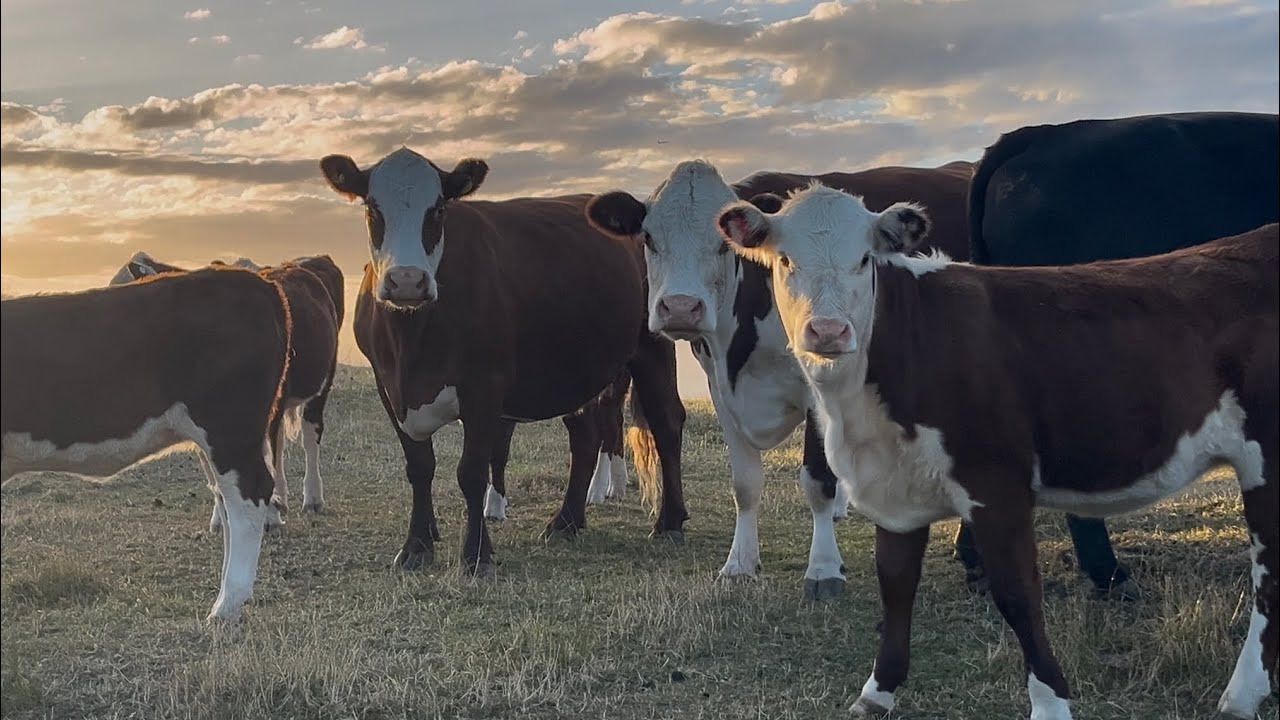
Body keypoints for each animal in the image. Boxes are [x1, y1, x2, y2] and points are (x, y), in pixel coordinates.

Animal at [319, 147, 686, 576]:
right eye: (372, 208)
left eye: (438, 209)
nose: (407, 280)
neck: (411, 345)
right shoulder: (389, 387)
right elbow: (419, 467)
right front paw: (417, 547)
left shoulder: (484, 386)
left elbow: (472, 472)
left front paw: (477, 554)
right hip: (575, 366)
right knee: (584, 436)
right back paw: (566, 521)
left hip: (652, 345)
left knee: (666, 422)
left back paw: (669, 522)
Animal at [585, 159, 972, 598]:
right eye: (649, 238)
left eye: (723, 245)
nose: (681, 308)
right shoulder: (722, 389)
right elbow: (745, 483)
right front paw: (739, 562)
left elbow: (817, 481)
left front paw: (824, 569)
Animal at [715, 182, 1277, 719]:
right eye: (786, 260)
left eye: (865, 259)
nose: (829, 331)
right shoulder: (895, 488)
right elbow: (895, 584)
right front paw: (878, 691)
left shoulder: (996, 485)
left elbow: (1018, 595)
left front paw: (1050, 704)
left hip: (1265, 461)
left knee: (1267, 575)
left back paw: (1242, 695)